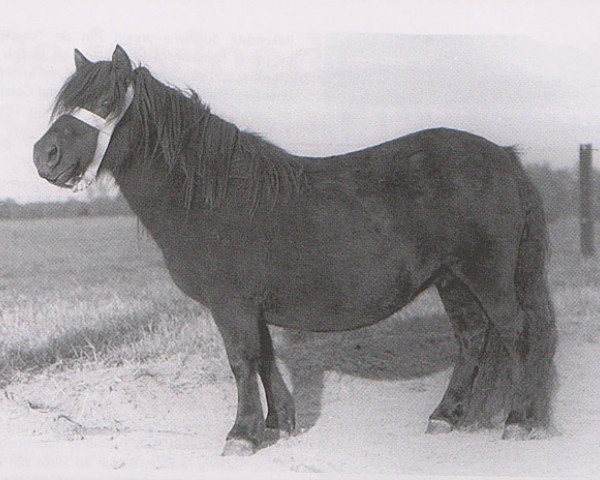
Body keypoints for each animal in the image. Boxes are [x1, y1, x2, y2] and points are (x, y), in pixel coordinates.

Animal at [32, 45, 556, 454]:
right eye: (64, 103)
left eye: (104, 100)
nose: (44, 156)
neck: (209, 195)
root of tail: (504, 158)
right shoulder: (251, 306)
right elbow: (264, 356)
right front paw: (278, 424)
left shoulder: (231, 303)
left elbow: (242, 360)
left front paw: (241, 435)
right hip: (452, 278)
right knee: (472, 337)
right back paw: (446, 415)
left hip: (487, 274)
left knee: (517, 333)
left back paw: (519, 420)